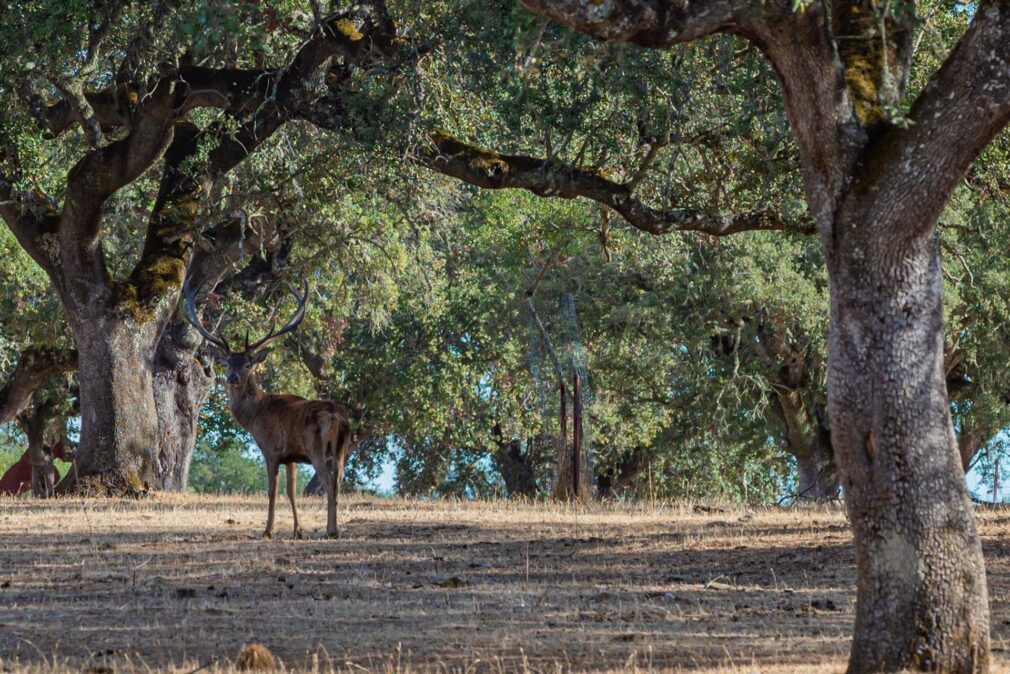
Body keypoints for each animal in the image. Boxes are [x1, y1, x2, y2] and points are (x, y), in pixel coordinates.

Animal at [185, 282, 355, 541]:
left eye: (248, 364)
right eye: (227, 363)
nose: (232, 377)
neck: (256, 415)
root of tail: (336, 416)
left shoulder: (271, 449)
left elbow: (273, 491)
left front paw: (268, 530)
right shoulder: (292, 456)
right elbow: (291, 491)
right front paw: (297, 530)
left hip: (317, 447)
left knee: (329, 482)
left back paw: (331, 530)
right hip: (342, 448)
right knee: (338, 482)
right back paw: (333, 529)